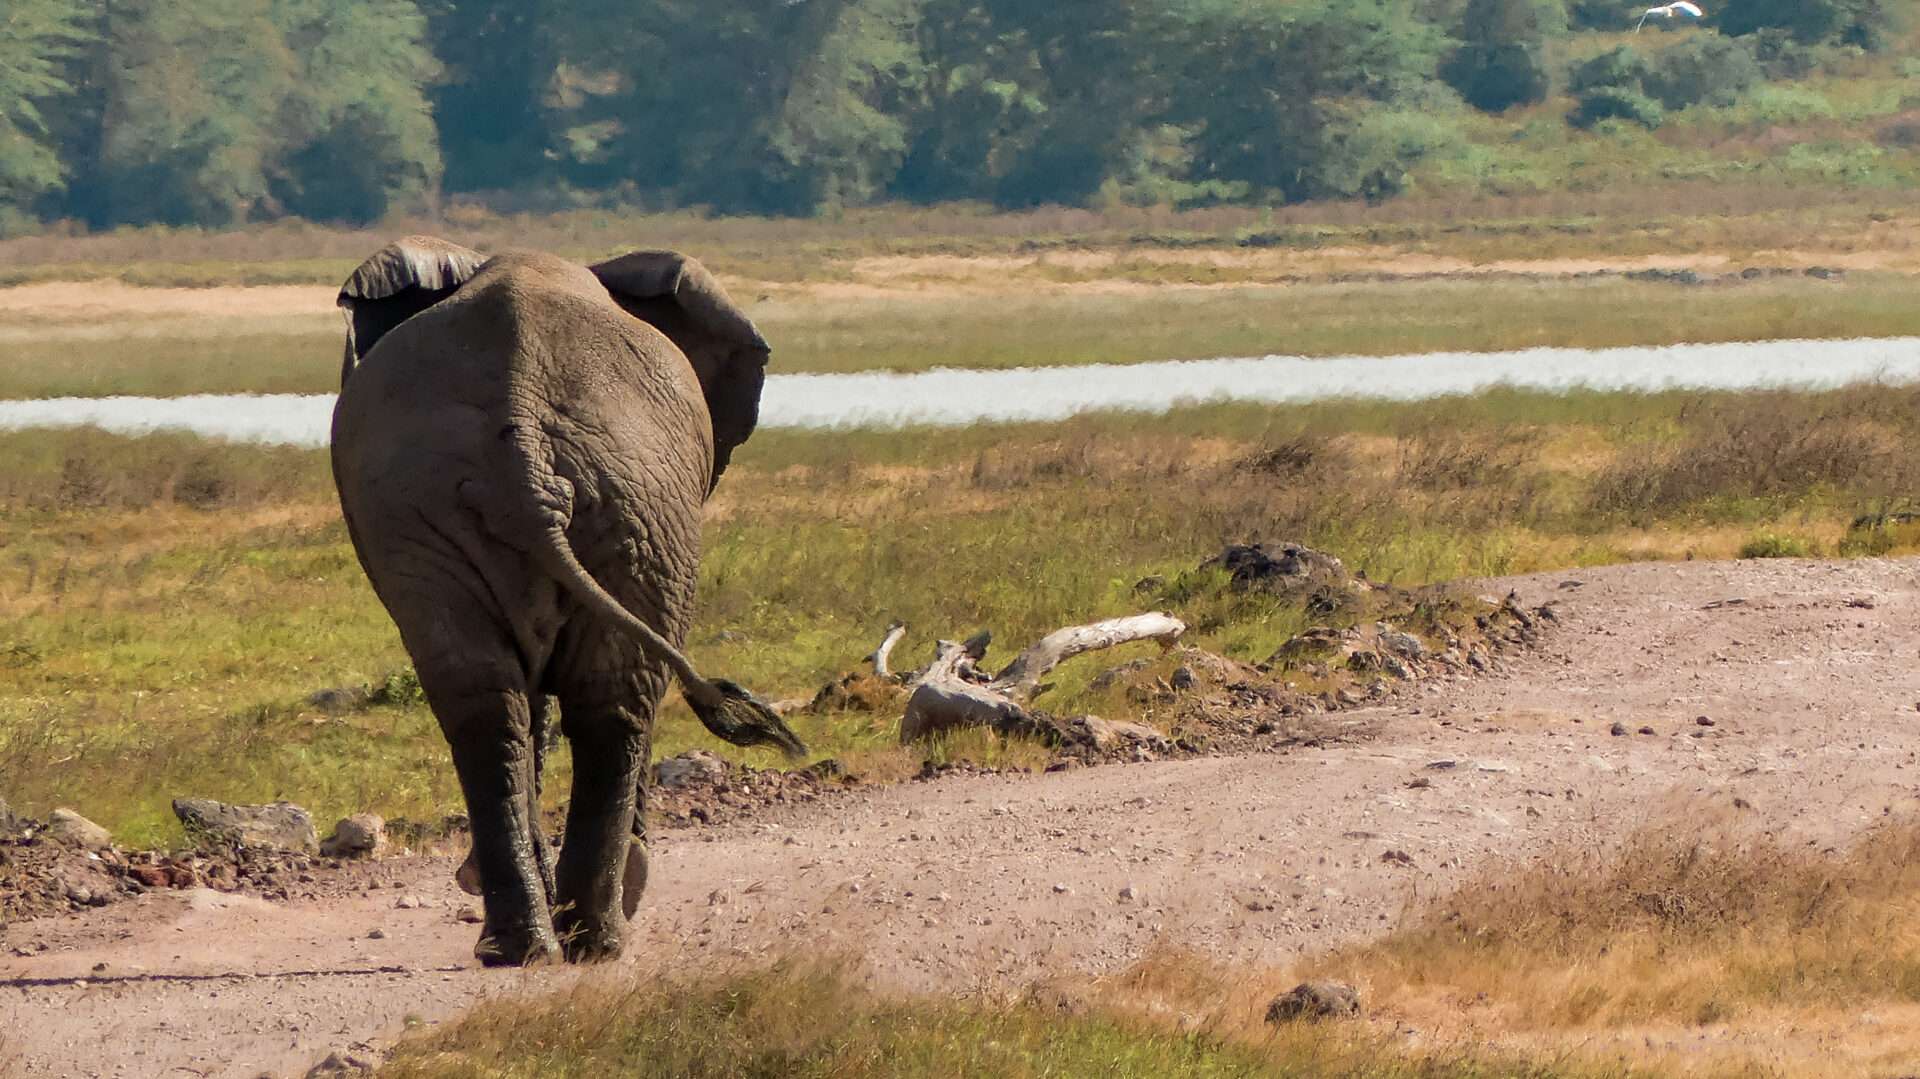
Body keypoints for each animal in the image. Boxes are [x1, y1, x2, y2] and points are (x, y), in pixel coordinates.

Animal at [330, 233, 802, 956]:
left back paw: (523, 948)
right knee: (613, 702)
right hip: (638, 507)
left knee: (487, 703)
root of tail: (523, 442)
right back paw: (597, 938)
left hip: (451, 510)